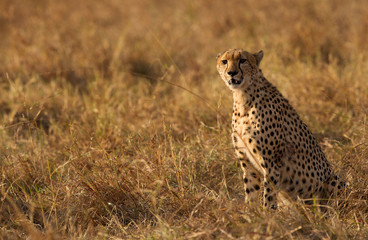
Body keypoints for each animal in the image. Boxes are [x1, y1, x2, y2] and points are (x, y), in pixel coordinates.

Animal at [216, 48, 344, 208]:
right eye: (224, 61)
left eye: (243, 60)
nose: (231, 73)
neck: (242, 99)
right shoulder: (247, 162)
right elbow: (251, 191)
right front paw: (250, 213)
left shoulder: (271, 164)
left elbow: (268, 197)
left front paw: (266, 214)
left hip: (335, 181)